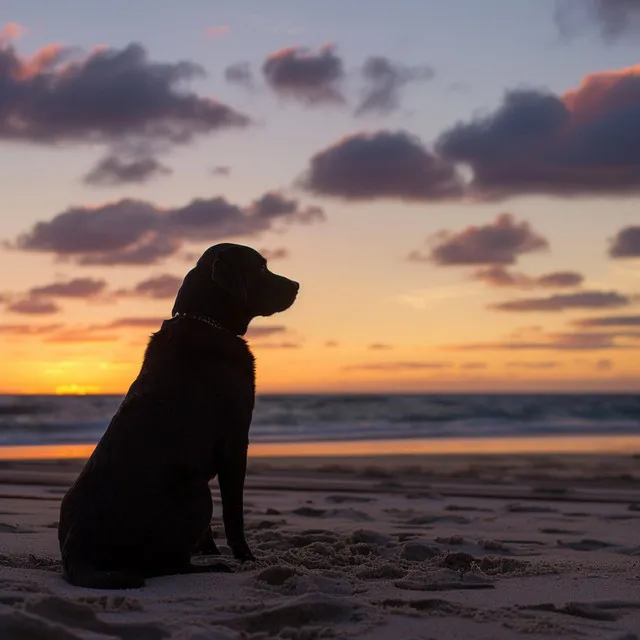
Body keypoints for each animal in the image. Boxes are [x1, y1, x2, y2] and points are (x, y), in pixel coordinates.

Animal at [58, 245, 298, 592]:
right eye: (262, 268)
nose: (296, 286)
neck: (207, 321)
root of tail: (78, 553)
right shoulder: (235, 443)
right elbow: (234, 514)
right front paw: (245, 557)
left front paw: (210, 550)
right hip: (197, 494)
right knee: (169, 565)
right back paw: (212, 568)